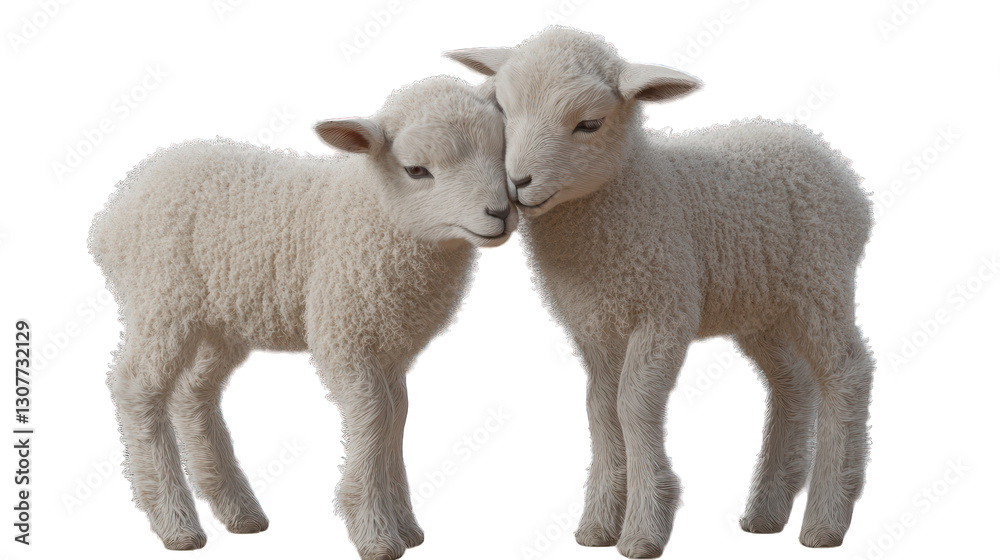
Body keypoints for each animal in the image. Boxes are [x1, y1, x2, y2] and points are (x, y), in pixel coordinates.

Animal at [88, 76, 516, 560]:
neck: (373, 212)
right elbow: (374, 415)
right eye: (416, 170)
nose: (500, 214)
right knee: (136, 387)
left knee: (193, 393)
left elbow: (397, 415)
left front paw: (405, 526)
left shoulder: (390, 343)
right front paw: (374, 530)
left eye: (501, 150)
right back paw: (173, 520)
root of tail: (112, 217)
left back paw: (238, 509)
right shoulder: (344, 330)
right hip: (162, 301)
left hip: (219, 321)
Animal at [447, 27, 875, 557]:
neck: (632, 188)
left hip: (821, 284)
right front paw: (598, 525)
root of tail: (832, 160)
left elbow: (633, 404)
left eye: (589, 123)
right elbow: (600, 409)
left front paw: (645, 527)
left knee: (846, 372)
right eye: (502, 111)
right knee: (792, 384)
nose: (518, 183)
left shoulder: (664, 310)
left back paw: (827, 516)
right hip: (761, 309)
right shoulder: (595, 326)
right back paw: (766, 511)